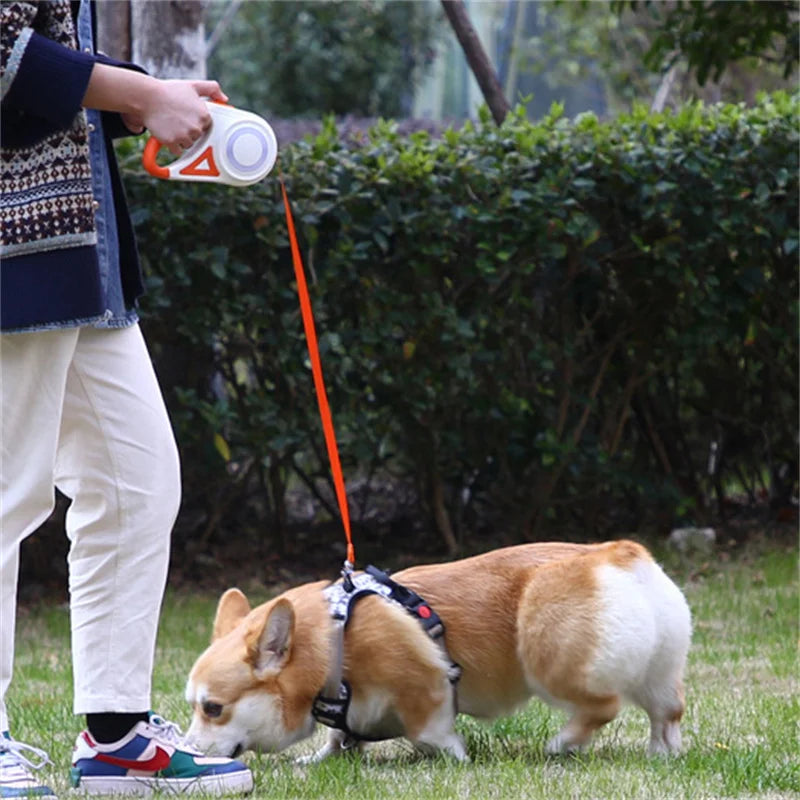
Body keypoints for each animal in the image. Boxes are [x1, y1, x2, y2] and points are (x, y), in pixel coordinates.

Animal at [184, 540, 692, 760]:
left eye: (213, 708)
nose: (186, 750)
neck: (330, 643)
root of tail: (621, 555)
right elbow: (339, 737)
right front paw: (320, 759)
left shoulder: (424, 687)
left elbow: (428, 732)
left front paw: (454, 757)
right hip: (657, 671)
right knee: (667, 711)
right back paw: (662, 753)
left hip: (548, 658)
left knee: (603, 707)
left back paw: (562, 744)